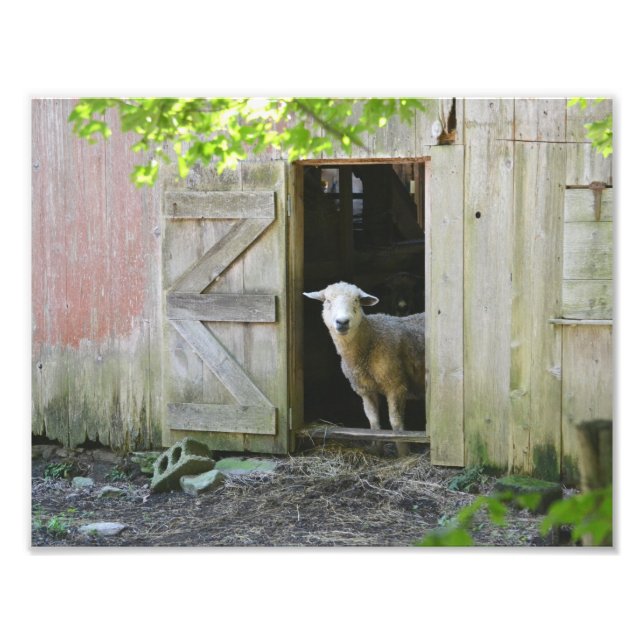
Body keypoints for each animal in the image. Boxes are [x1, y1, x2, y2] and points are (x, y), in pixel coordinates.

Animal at [304, 281, 425, 455]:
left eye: (356, 300)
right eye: (327, 301)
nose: (342, 322)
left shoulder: (396, 385)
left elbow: (396, 423)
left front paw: (403, 454)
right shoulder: (365, 389)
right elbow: (373, 422)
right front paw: (376, 449)